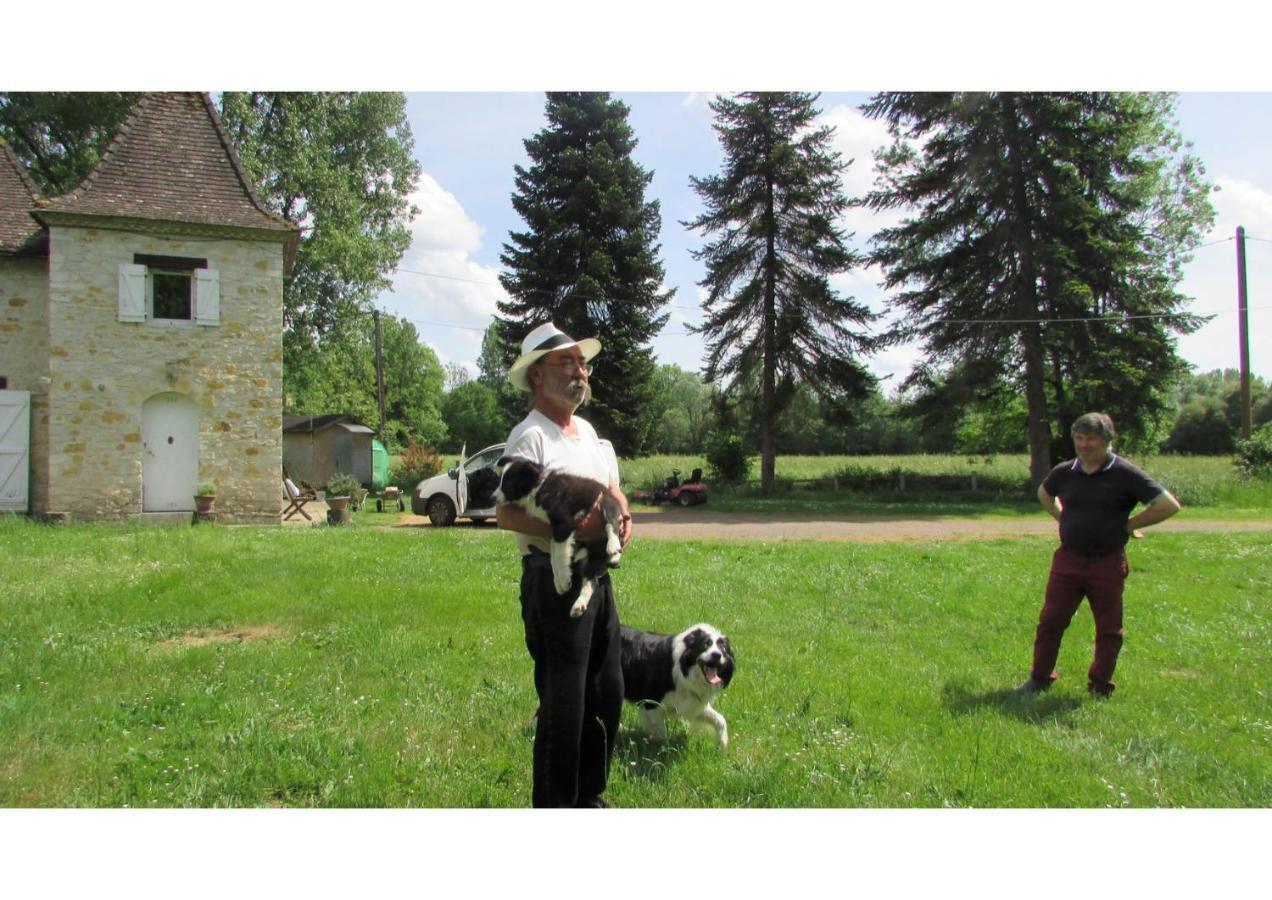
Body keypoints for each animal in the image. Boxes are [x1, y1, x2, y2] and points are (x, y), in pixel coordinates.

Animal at [490, 457, 620, 617]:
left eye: (508, 482)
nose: (492, 498)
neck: (537, 489)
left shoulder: (563, 524)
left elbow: (560, 555)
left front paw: (563, 579)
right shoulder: (554, 532)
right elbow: (553, 557)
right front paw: (559, 583)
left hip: (605, 503)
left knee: (612, 523)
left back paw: (613, 547)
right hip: (592, 558)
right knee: (591, 581)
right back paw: (579, 605)